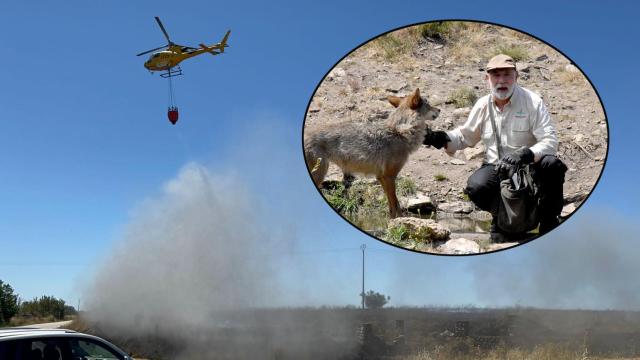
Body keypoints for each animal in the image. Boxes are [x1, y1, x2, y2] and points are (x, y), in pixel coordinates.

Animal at [304, 88, 440, 218]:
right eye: (428, 104)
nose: (439, 109)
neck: (400, 132)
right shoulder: (389, 176)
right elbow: (395, 204)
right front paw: (400, 221)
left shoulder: (381, 177)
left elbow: (392, 207)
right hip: (320, 173)